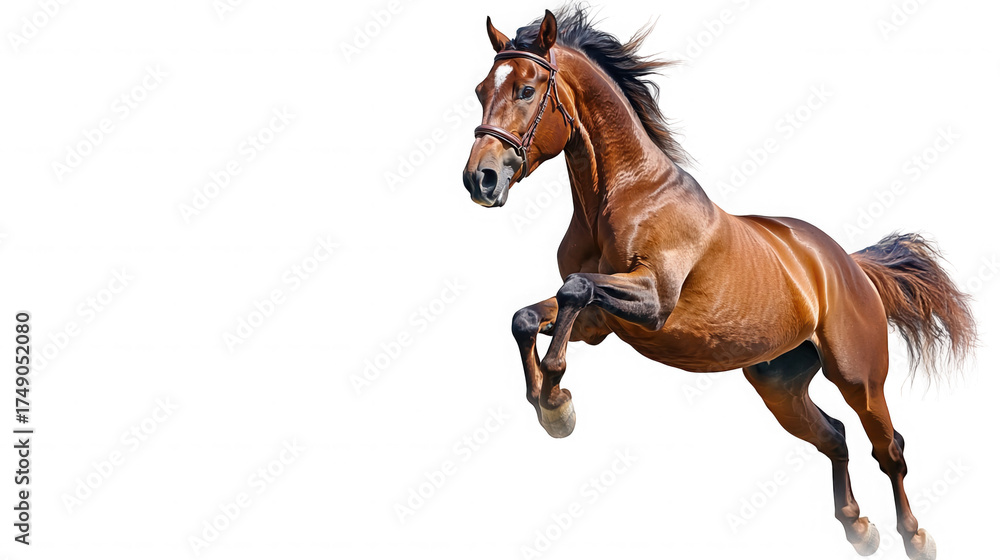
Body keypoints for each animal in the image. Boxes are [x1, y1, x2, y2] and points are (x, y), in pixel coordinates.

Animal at [461, 7, 975, 560]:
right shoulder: (602, 321)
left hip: (859, 378)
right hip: (779, 385)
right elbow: (529, 316)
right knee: (835, 436)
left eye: (526, 90)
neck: (624, 194)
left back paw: (915, 536)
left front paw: (557, 401)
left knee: (890, 449)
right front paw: (550, 404)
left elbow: (573, 289)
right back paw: (858, 526)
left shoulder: (652, 300)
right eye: (480, 90)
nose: (480, 180)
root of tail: (849, 266)